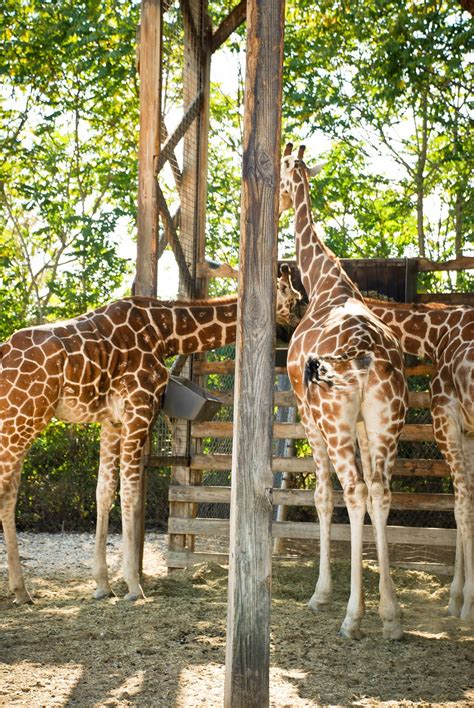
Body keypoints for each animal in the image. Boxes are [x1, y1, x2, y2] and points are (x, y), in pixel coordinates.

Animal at [0, 270, 300, 604]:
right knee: (4, 490)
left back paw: (21, 590)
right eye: (293, 297)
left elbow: (104, 491)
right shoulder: (139, 409)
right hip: (23, 418)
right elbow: (131, 492)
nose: (294, 326)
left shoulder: (112, 421)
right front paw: (133, 585)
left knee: (9, 494)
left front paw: (102, 584)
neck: (165, 332)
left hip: (18, 422)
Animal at [280, 144, 410, 640]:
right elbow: (372, 496)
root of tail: (365, 354)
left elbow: (321, 497)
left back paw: (352, 617)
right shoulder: (360, 425)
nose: (280, 203)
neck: (325, 282)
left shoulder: (307, 415)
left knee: (352, 491)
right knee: (381, 491)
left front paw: (322, 594)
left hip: (332, 422)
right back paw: (391, 617)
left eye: (281, 177)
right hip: (387, 421)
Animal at [364, 298, 472, 620]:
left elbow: (462, 507)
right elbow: (463, 503)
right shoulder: (466, 429)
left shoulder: (445, 415)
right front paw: (458, 598)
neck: (436, 334)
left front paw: (464, 601)